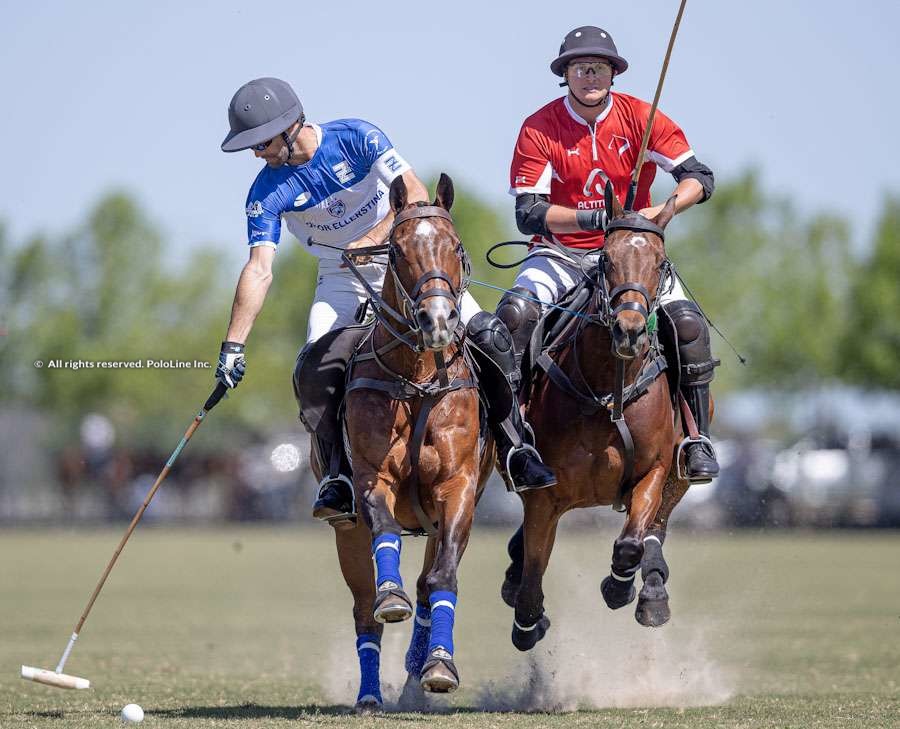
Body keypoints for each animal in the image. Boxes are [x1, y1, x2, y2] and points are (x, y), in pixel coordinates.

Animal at [310, 173, 492, 708]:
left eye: (455, 245)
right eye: (397, 249)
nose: (438, 320)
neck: (417, 380)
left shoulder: (457, 489)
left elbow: (442, 579)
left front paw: (439, 666)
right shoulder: (373, 477)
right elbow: (385, 538)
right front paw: (393, 598)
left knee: (430, 584)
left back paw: (417, 670)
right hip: (345, 530)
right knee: (363, 608)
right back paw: (370, 693)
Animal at [500, 183, 704, 648]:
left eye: (659, 261)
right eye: (607, 258)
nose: (630, 331)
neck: (607, 390)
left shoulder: (653, 470)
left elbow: (631, 542)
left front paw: (618, 587)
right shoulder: (546, 495)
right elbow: (534, 570)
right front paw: (528, 622)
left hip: (681, 475)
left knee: (656, 529)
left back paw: (652, 594)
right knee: (518, 311)